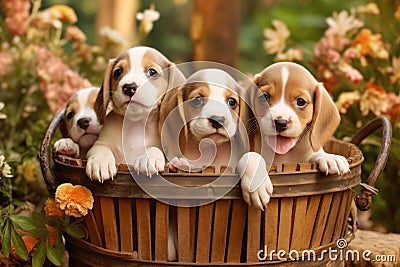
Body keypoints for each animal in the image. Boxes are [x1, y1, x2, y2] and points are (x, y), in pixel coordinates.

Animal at [86, 47, 186, 183]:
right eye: (117, 72)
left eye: (152, 72)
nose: (129, 87)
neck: (136, 124)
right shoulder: (101, 142)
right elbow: (100, 148)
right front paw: (100, 161)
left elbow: (156, 149)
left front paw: (149, 158)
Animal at [239, 61, 348, 210]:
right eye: (265, 97)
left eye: (300, 101)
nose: (280, 123)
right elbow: (251, 156)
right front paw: (256, 184)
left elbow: (316, 154)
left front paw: (330, 157)